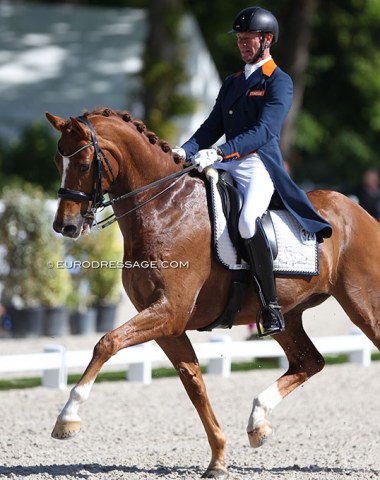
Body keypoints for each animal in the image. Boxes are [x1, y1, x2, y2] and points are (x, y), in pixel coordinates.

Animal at [46, 109, 378, 480]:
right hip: (287, 316)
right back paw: (258, 421)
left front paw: (67, 418)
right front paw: (218, 459)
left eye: (84, 164)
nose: (65, 226)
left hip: (365, 304)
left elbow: (107, 343)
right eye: (58, 160)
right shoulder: (169, 325)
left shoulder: (169, 312)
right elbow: (194, 383)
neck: (165, 209)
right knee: (310, 361)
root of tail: (357, 211)